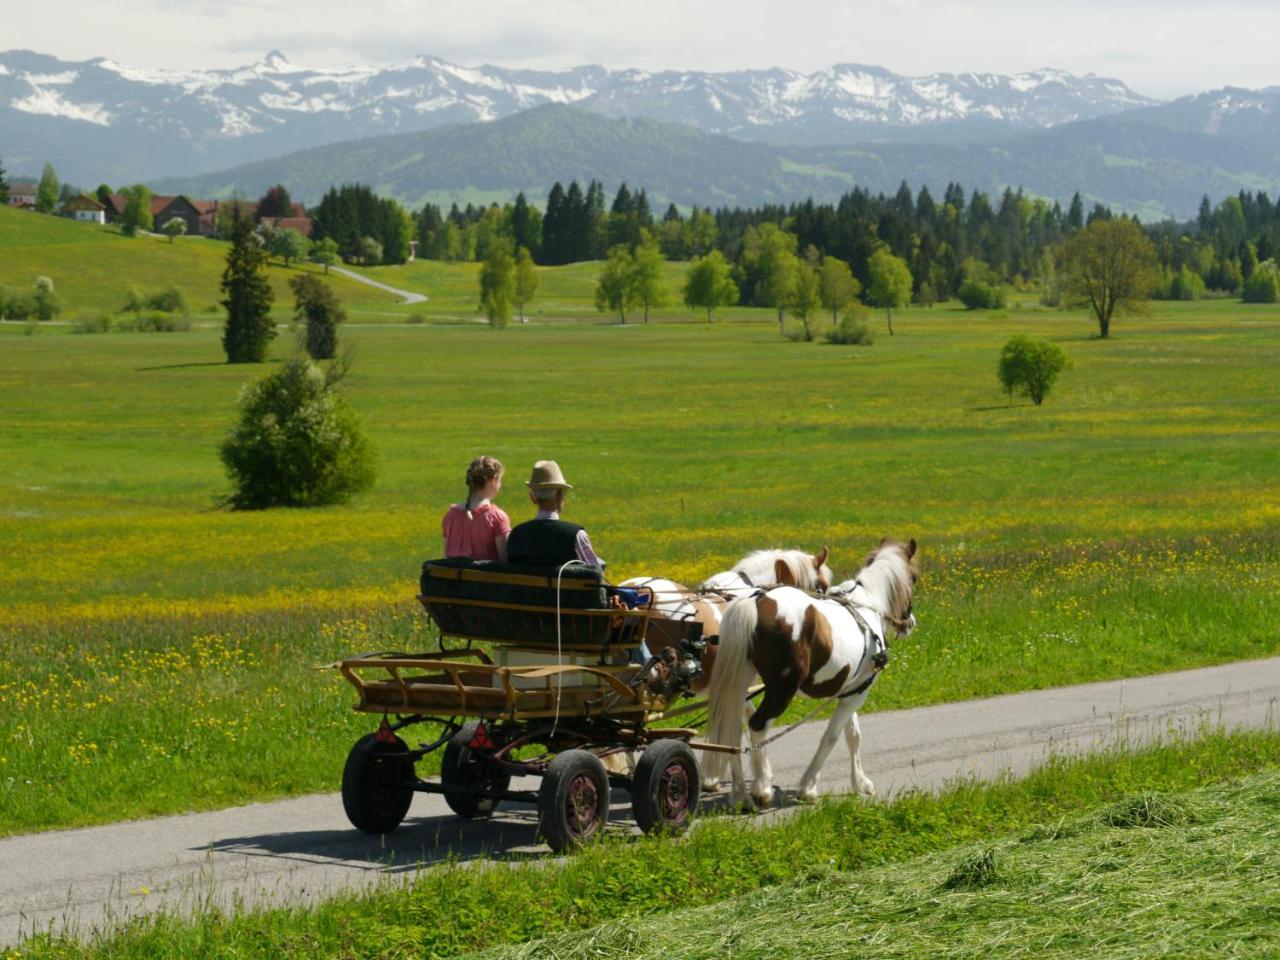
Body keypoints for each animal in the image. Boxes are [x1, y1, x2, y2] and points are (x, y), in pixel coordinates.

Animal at [701, 542, 921, 814]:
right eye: (914, 578)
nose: (910, 622)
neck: (867, 606)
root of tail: (755, 601)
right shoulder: (859, 691)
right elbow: (831, 737)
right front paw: (808, 787)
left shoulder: (849, 689)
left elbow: (853, 735)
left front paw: (860, 782)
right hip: (781, 689)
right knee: (756, 725)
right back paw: (761, 789)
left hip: (739, 681)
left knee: (732, 731)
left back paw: (741, 795)